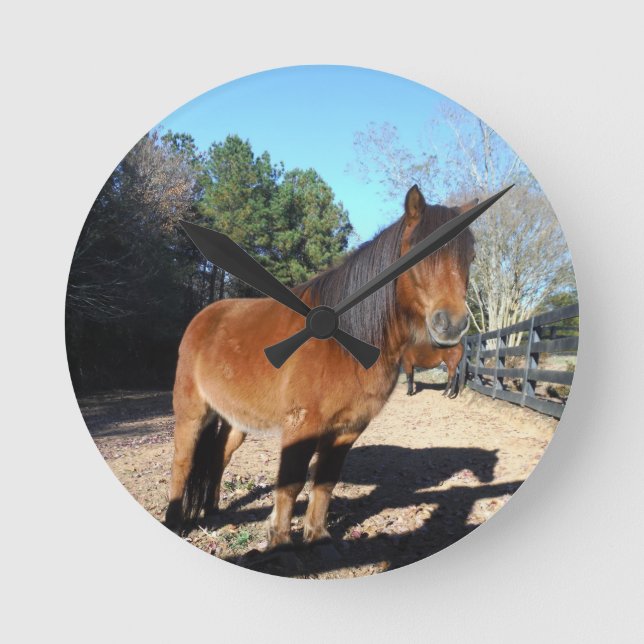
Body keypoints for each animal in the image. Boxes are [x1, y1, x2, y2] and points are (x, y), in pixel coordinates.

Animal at [165, 186, 477, 548]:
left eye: (470, 256)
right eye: (415, 252)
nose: (451, 324)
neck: (344, 341)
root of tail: (204, 317)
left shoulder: (348, 429)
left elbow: (325, 481)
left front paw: (317, 536)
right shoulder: (302, 426)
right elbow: (291, 483)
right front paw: (280, 541)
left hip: (236, 420)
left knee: (219, 456)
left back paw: (212, 510)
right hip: (192, 413)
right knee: (182, 463)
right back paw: (175, 522)